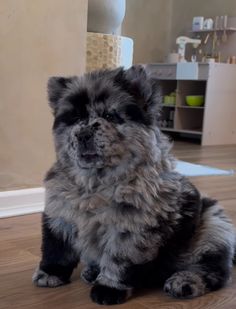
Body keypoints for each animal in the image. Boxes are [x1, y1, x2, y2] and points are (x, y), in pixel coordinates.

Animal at [32, 65, 235, 304]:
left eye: (109, 115)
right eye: (75, 118)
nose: (83, 134)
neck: (96, 183)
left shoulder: (133, 224)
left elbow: (120, 257)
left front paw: (108, 288)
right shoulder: (60, 213)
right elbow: (56, 249)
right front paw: (50, 274)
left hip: (214, 227)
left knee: (214, 270)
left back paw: (184, 282)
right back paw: (92, 271)